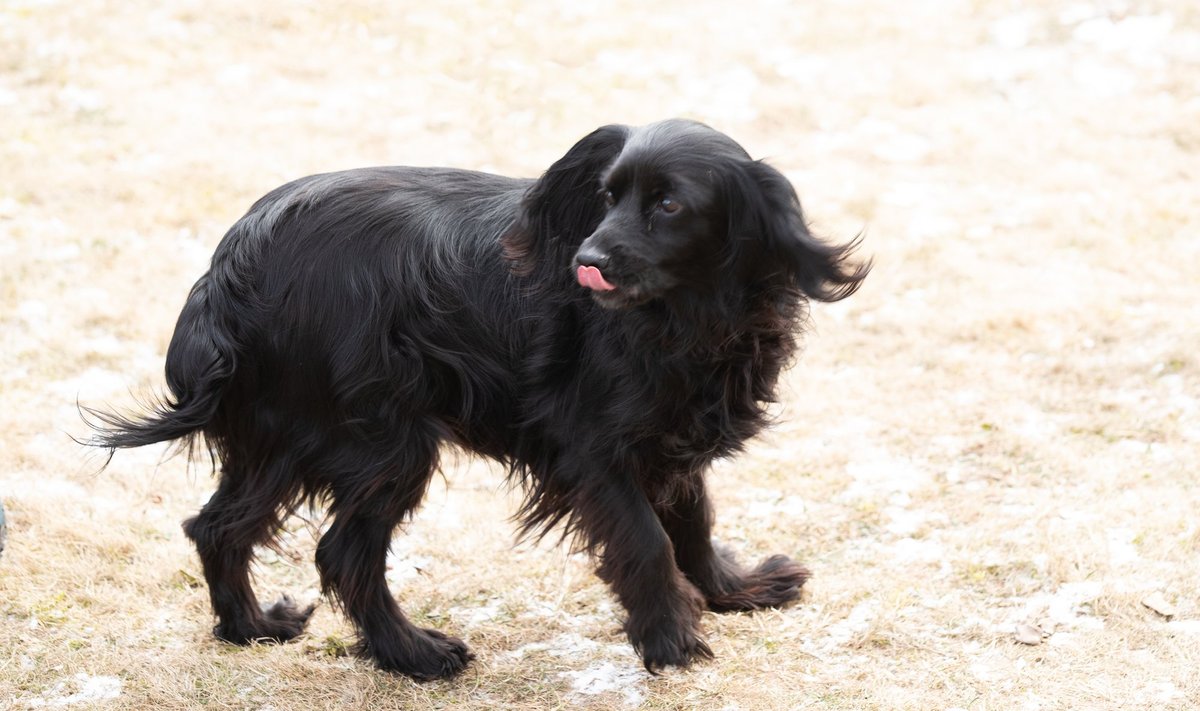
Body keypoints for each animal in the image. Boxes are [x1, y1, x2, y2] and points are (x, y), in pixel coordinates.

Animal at [88, 118, 868, 677]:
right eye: (607, 197)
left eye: (669, 204)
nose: (586, 261)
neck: (685, 313)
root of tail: (233, 261)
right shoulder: (594, 450)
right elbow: (648, 540)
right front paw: (672, 639)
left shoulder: (666, 435)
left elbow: (694, 521)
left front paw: (736, 589)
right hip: (380, 441)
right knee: (341, 553)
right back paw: (415, 654)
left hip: (281, 434)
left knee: (216, 525)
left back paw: (250, 628)